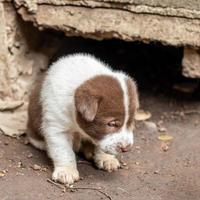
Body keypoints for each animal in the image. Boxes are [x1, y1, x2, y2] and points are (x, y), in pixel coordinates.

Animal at [27, 53, 139, 184]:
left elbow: (102, 145)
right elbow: (64, 151)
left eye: (131, 122)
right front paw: (66, 171)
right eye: (111, 124)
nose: (126, 148)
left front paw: (106, 158)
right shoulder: (57, 127)